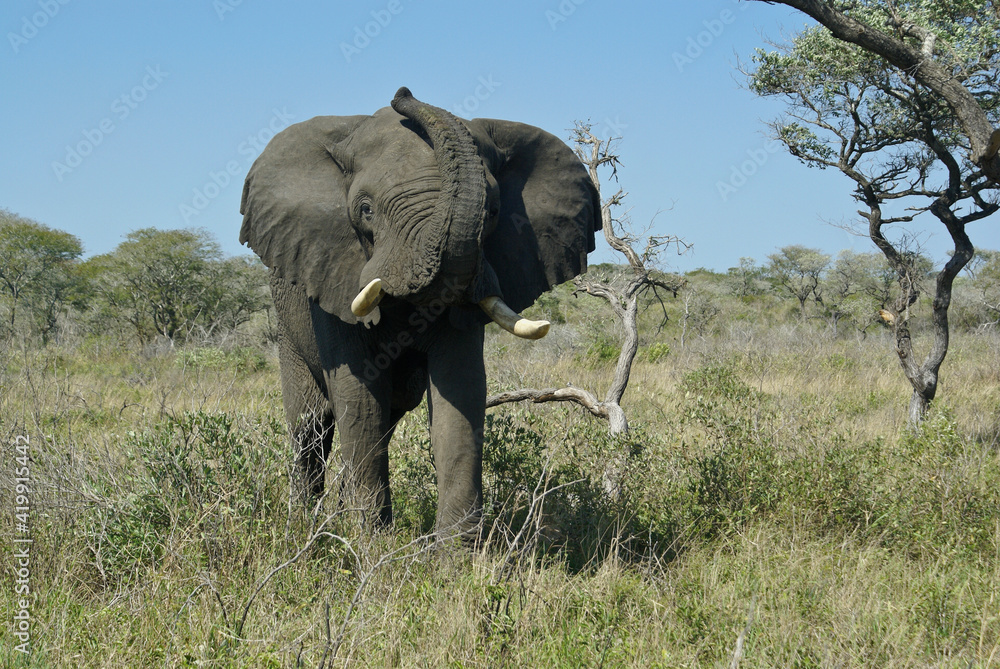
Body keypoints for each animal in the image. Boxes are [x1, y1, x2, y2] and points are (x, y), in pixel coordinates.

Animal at [239, 87, 600, 539]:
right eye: (365, 210)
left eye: (493, 212)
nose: (404, 93)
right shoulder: (330, 274)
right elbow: (359, 400)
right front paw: (371, 548)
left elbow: (460, 395)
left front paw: (455, 555)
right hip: (288, 322)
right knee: (312, 425)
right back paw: (304, 529)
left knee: (385, 420)